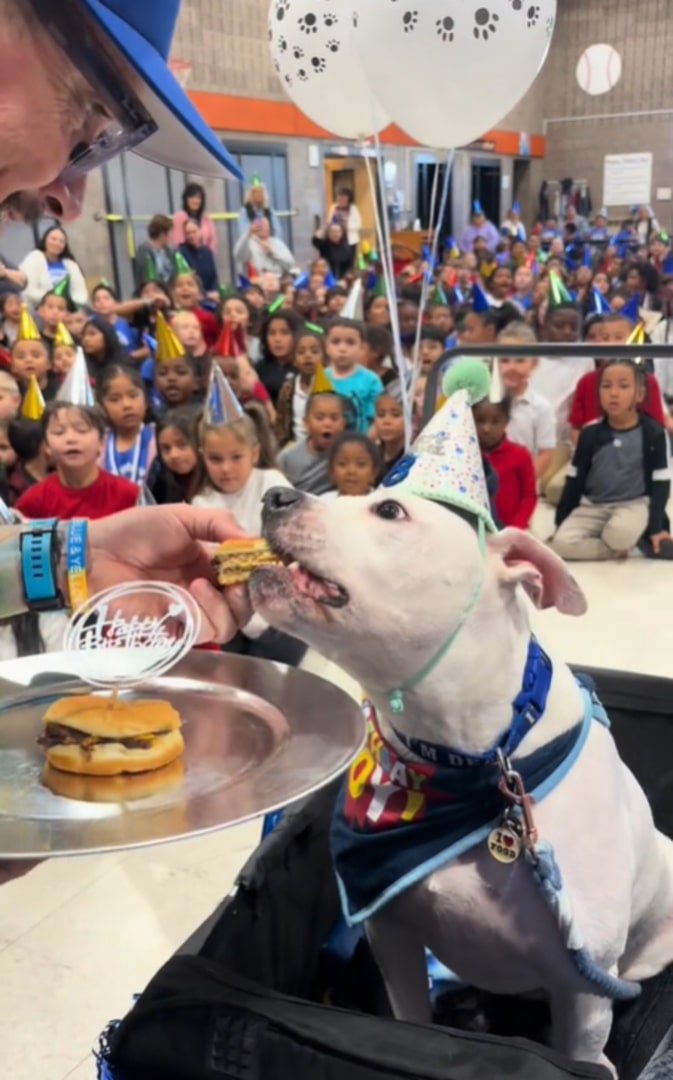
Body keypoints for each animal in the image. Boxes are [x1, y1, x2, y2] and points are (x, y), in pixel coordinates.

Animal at [251, 490, 673, 1071]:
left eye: (389, 511)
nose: (275, 495)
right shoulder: (393, 939)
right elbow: (410, 1014)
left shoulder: (582, 993)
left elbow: (582, 1053)